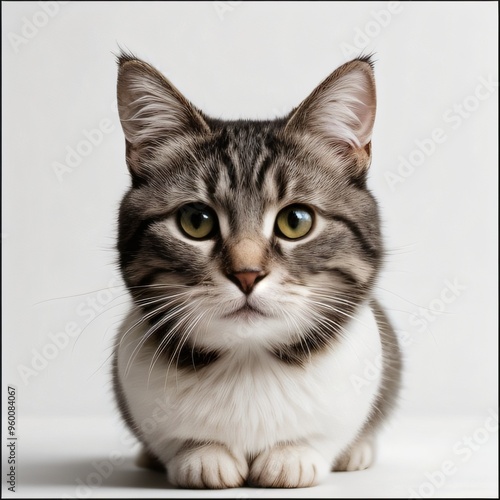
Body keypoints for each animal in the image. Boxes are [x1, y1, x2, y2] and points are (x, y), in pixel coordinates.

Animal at [113, 51, 402, 488]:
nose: (246, 274)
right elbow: (183, 442)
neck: (247, 361)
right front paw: (202, 456)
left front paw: (293, 455)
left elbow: (319, 438)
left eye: (296, 221)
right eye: (196, 221)